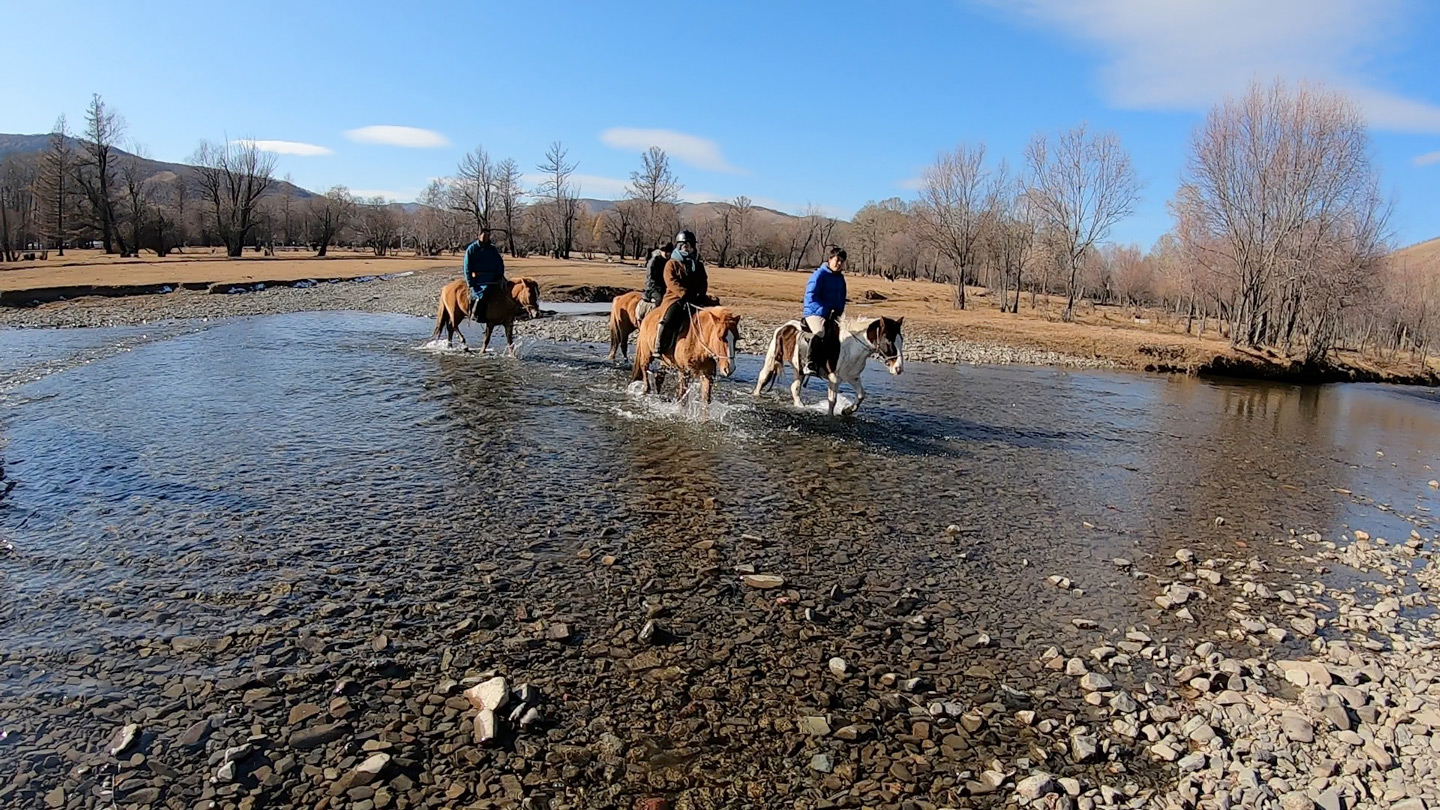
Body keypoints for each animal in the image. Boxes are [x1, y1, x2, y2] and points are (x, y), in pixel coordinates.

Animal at [748, 315, 904, 415]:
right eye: (889, 341)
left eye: (901, 340)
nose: (898, 369)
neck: (852, 346)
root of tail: (785, 327)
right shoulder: (834, 378)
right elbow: (832, 401)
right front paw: (830, 418)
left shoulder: (853, 377)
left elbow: (861, 395)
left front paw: (847, 411)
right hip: (772, 359)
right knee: (763, 378)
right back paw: (756, 396)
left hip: (799, 370)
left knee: (795, 387)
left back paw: (800, 406)